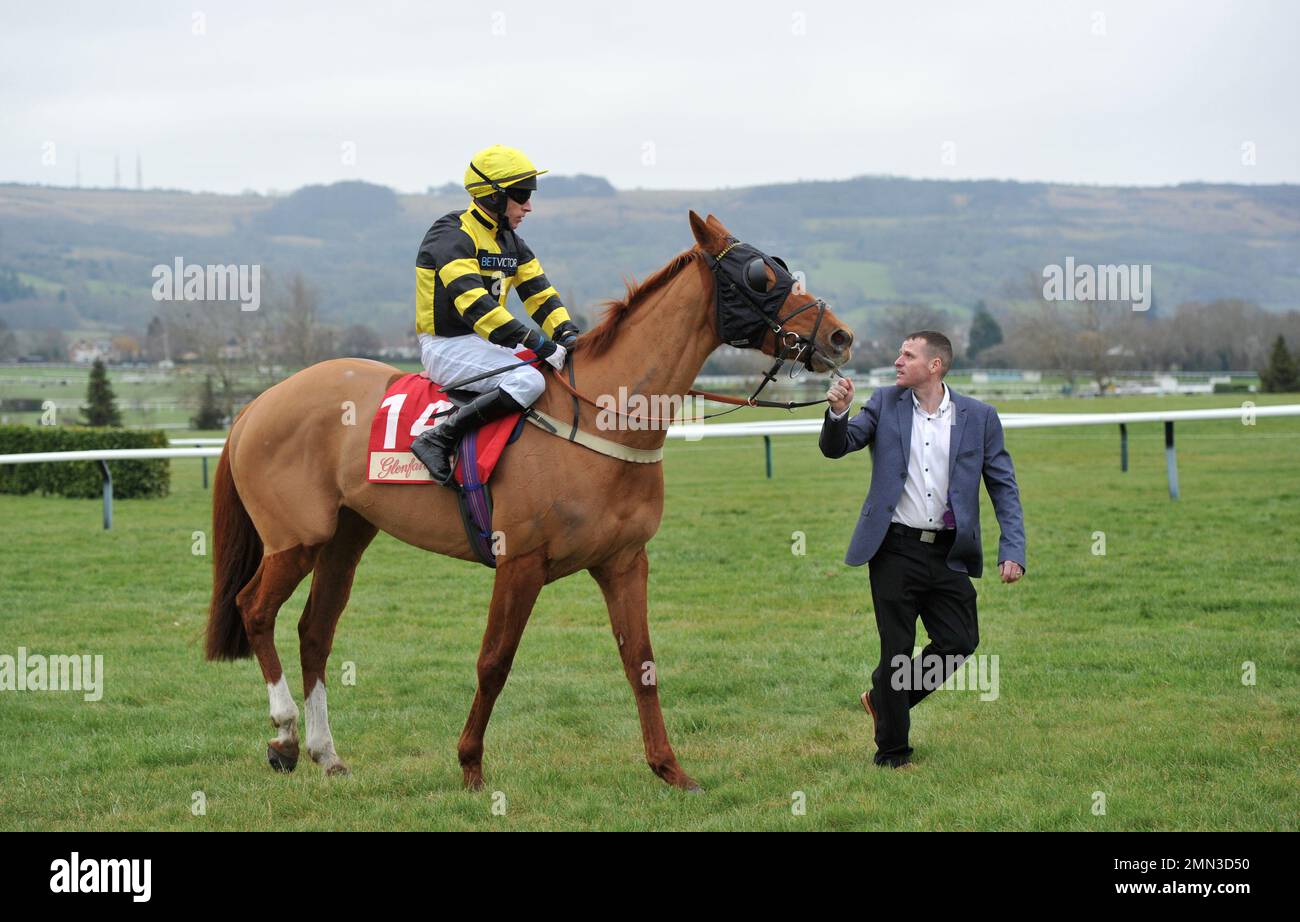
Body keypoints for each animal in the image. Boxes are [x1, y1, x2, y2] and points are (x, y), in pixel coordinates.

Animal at [202, 210, 852, 790]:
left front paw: (670, 770)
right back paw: (284, 736)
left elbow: (641, 664)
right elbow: (494, 662)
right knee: (254, 609)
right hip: (295, 539)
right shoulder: (519, 562)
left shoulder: (624, 562)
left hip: (346, 536)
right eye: (761, 275)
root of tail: (258, 403)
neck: (602, 414)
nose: (841, 336)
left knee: (315, 630)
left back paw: (325, 753)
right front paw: (470, 767)